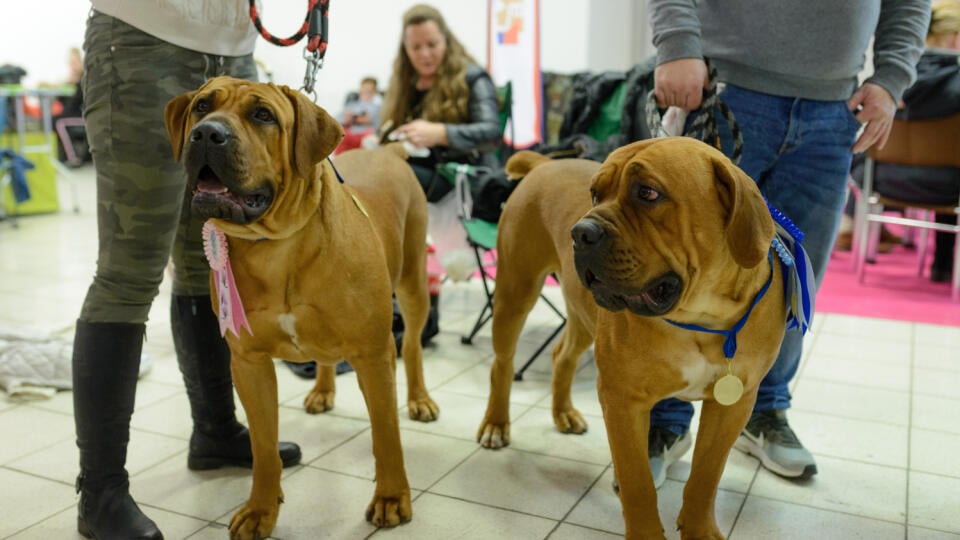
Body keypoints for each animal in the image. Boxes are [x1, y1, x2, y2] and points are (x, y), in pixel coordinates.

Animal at [163, 77, 436, 540]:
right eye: (201, 106)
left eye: (263, 115)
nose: (206, 134)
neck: (277, 246)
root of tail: (388, 152)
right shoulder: (248, 362)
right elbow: (263, 446)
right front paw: (260, 509)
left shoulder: (373, 355)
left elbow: (385, 433)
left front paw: (391, 497)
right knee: (324, 356)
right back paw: (322, 390)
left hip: (414, 281)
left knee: (414, 344)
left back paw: (419, 399)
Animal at [474, 151, 600, 448]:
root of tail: (547, 163)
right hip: (514, 296)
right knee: (502, 365)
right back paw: (496, 423)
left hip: (581, 314)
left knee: (563, 355)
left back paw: (563, 412)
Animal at [568, 138, 788, 540]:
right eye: (595, 194)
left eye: (648, 193)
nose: (580, 233)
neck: (701, 317)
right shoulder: (621, 400)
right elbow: (637, 480)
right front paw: (645, 532)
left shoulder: (734, 404)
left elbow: (706, 475)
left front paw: (699, 528)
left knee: (560, 356)